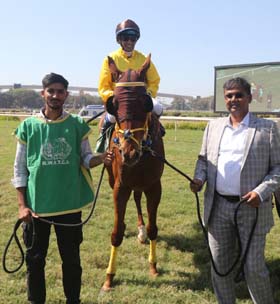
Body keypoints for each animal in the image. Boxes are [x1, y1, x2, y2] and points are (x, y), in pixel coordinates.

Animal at [102, 54, 165, 290]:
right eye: (114, 104)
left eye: (145, 102)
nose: (128, 152)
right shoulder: (120, 186)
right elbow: (116, 233)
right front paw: (109, 277)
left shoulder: (154, 186)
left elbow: (154, 227)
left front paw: (153, 267)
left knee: (138, 199)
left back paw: (141, 230)